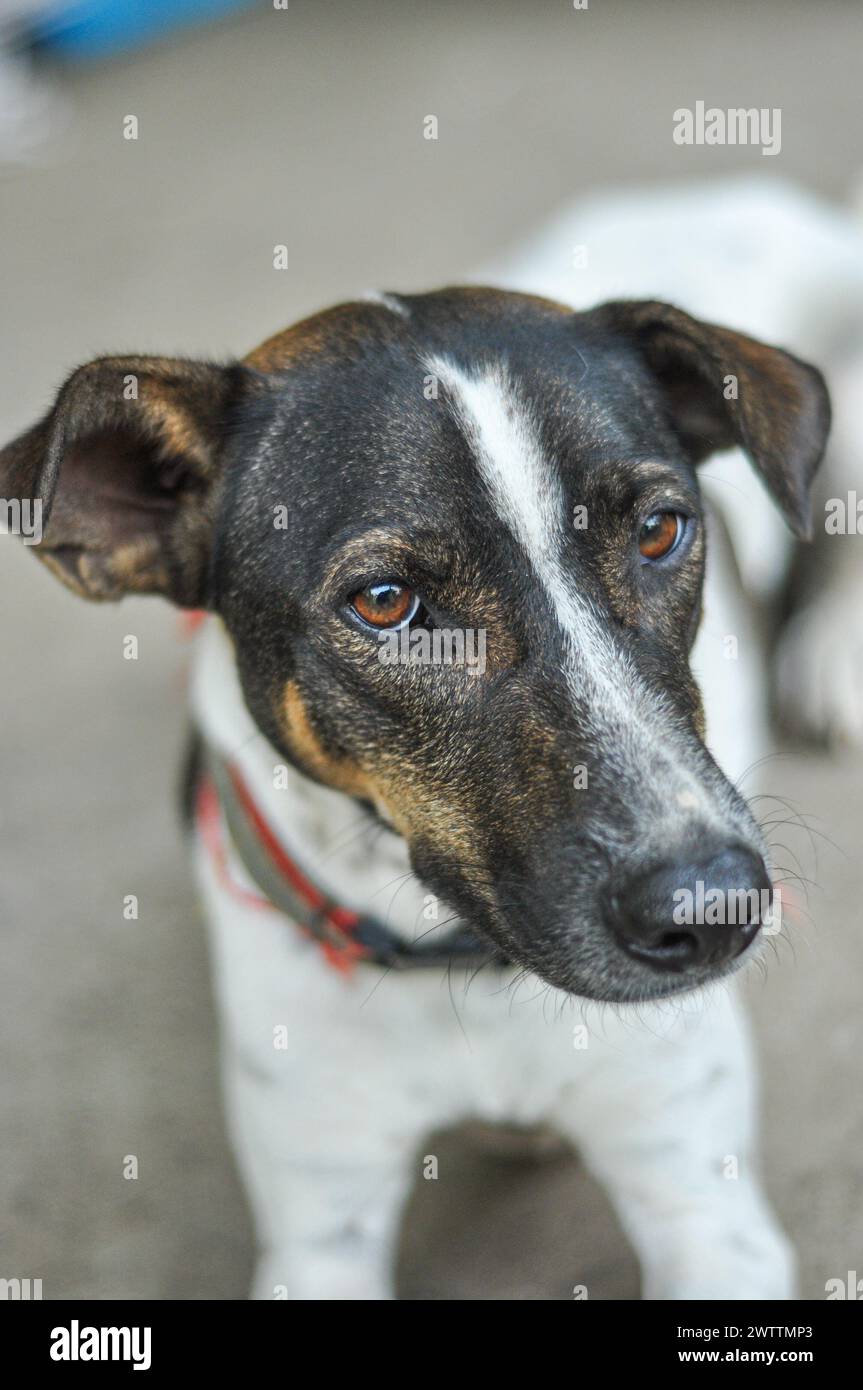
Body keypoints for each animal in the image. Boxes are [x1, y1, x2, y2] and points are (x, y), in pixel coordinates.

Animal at [3, 176, 856, 1301]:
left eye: (659, 530)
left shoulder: (702, 1205)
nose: (713, 910)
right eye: (383, 602)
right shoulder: (318, 1233)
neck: (468, 969)